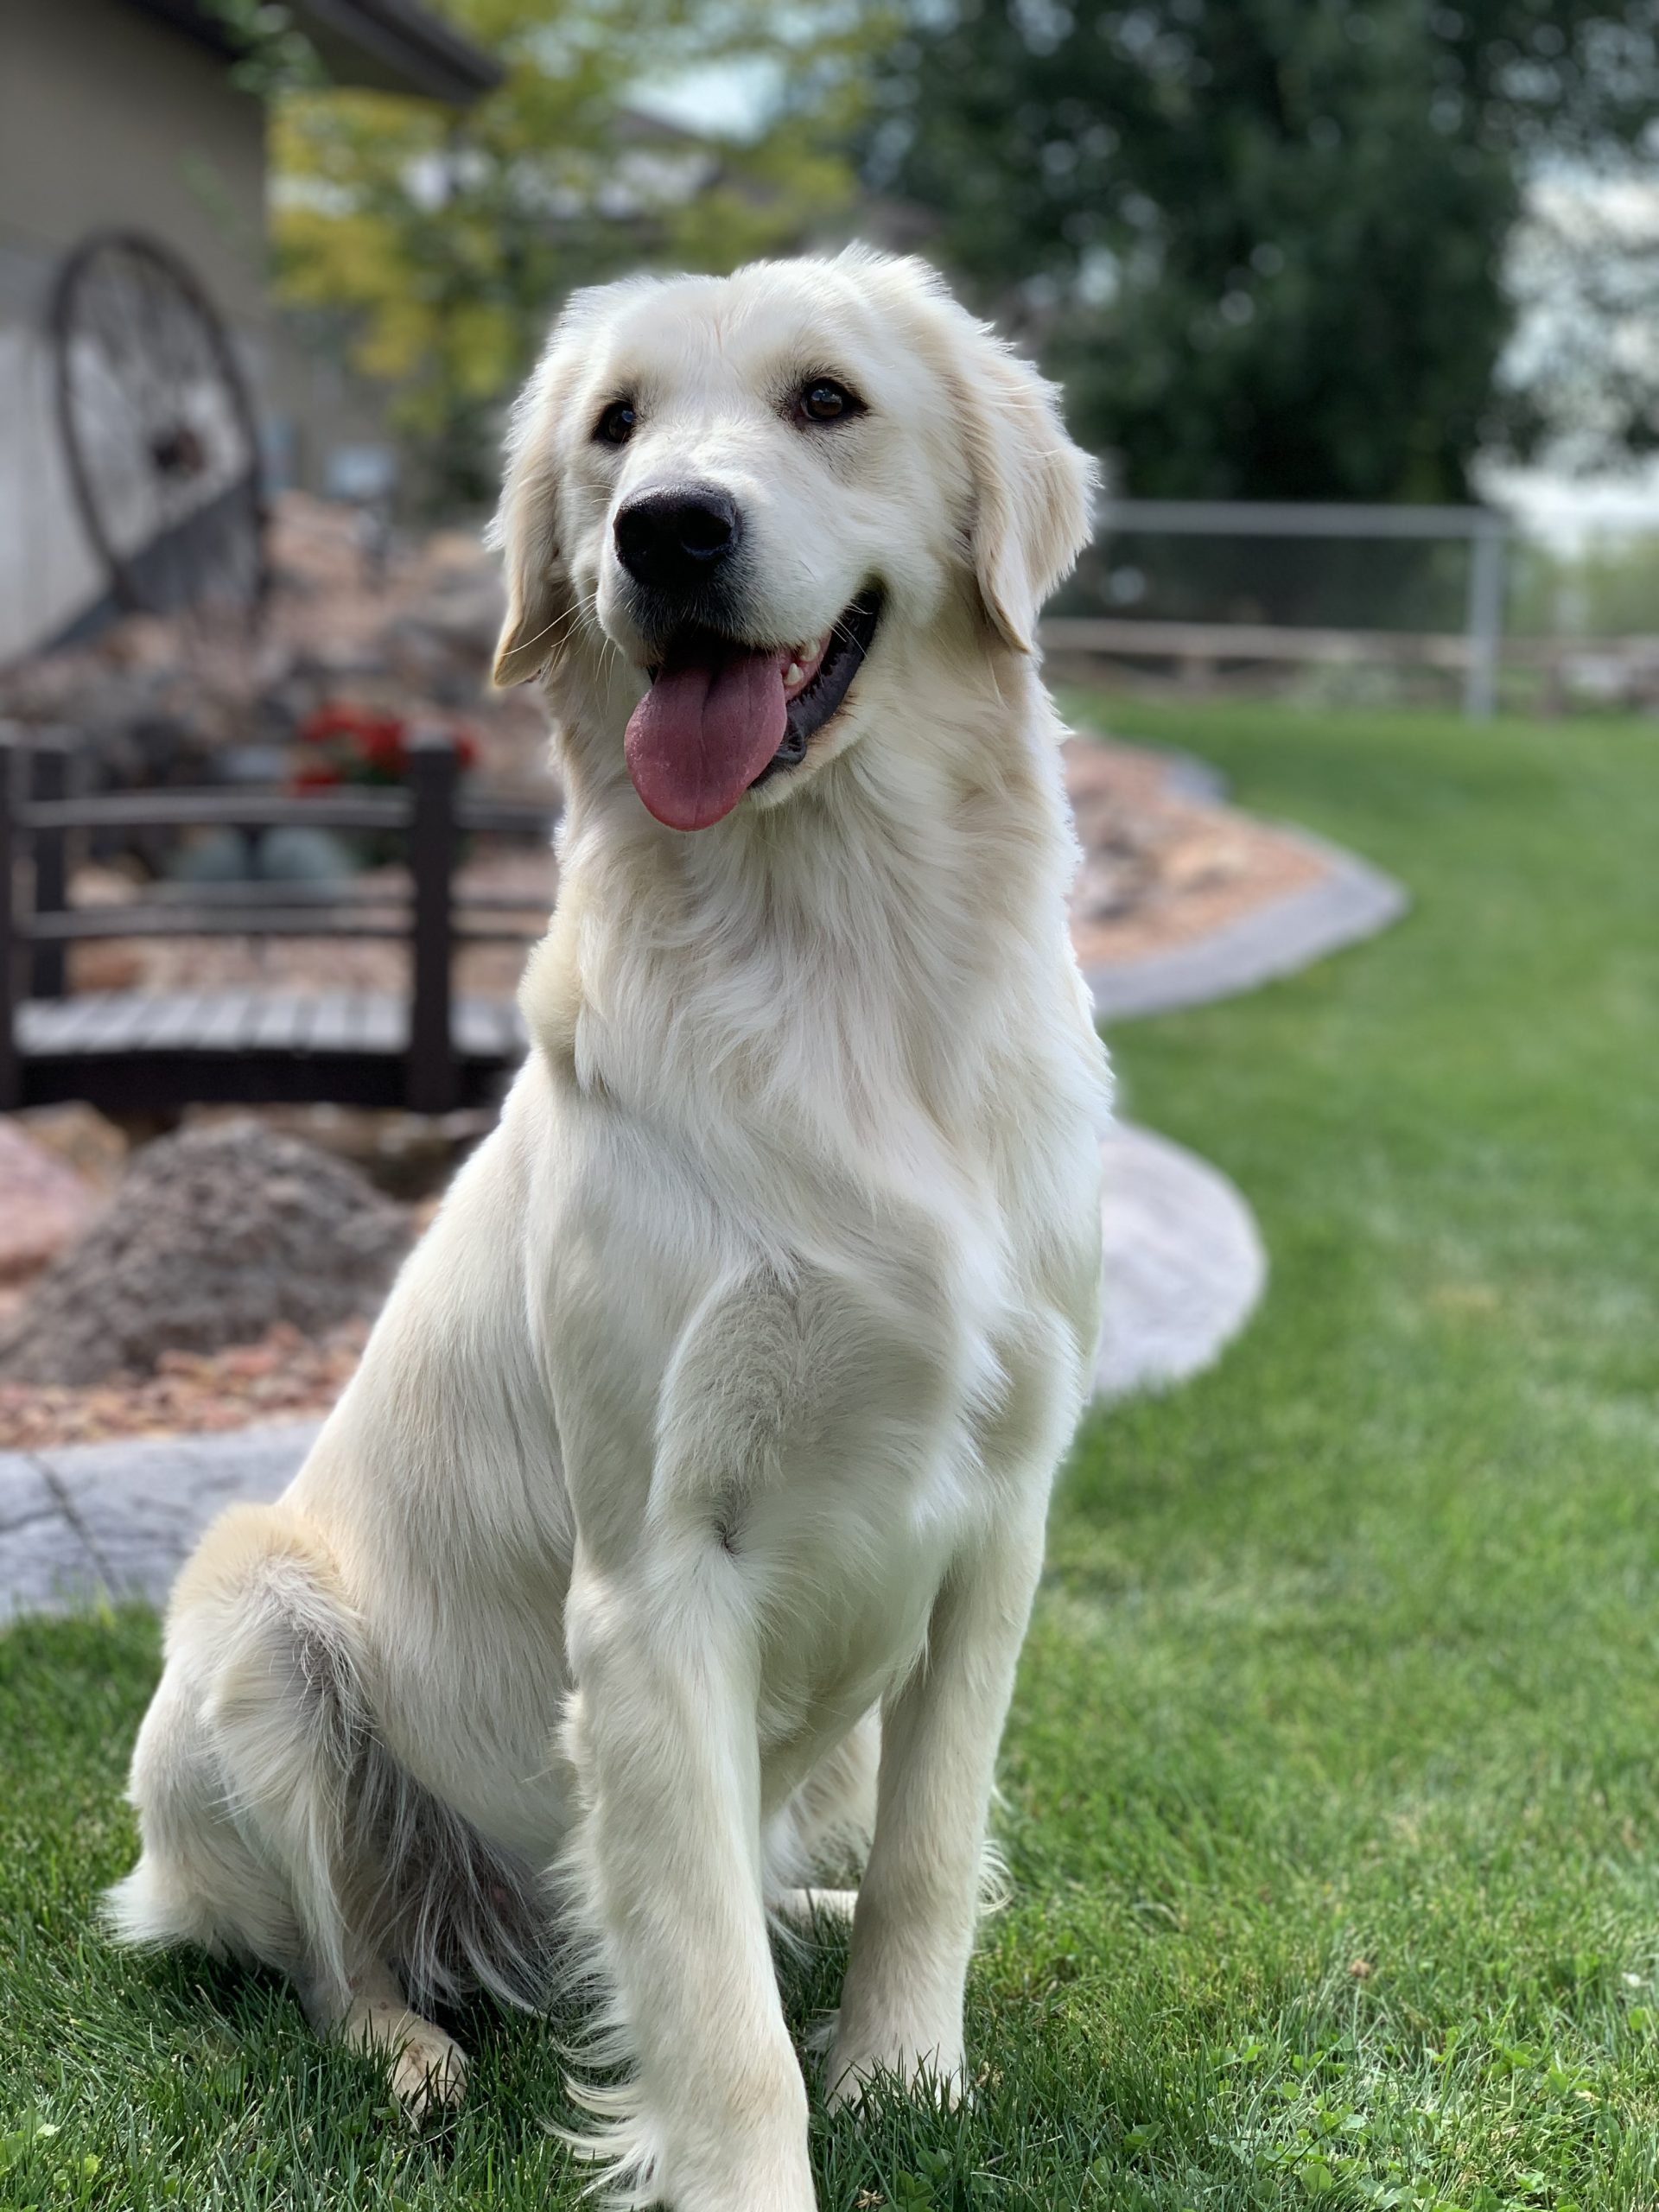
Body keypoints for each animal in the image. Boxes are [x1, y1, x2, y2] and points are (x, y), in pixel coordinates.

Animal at [111, 246, 1110, 2212]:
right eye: (615, 428)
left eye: (825, 399)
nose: (669, 530)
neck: (843, 966)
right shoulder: (657, 1572)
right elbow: (708, 1998)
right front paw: (753, 2162)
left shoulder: (999, 1520)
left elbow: (929, 1845)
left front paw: (905, 2072)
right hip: (257, 1629)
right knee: (344, 1963)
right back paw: (413, 2051)